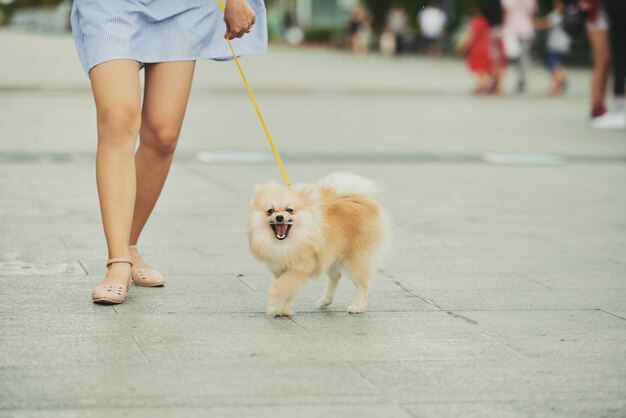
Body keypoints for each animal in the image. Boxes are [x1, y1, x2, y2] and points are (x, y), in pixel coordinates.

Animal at [246, 171, 388, 316]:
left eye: (290, 210)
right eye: (270, 211)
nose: (279, 217)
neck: (287, 243)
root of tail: (359, 198)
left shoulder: (298, 268)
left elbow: (277, 287)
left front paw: (273, 307)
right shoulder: (282, 269)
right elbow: (288, 290)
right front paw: (285, 310)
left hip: (355, 257)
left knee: (362, 283)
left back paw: (357, 307)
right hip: (332, 254)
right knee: (336, 276)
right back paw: (326, 300)